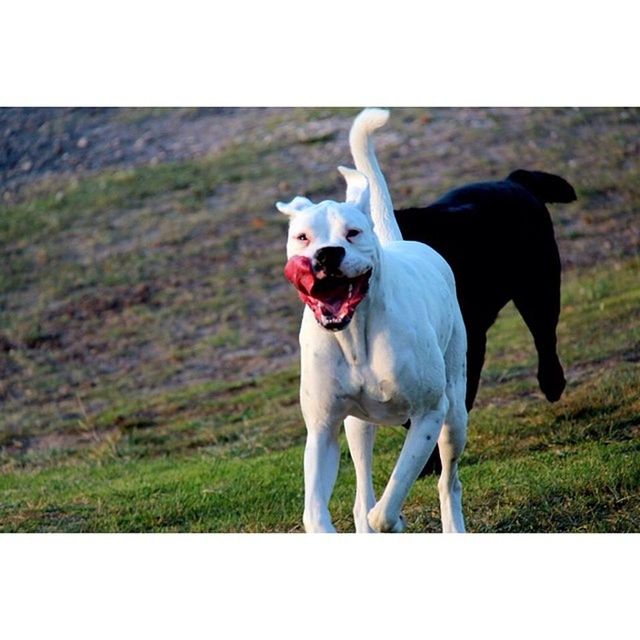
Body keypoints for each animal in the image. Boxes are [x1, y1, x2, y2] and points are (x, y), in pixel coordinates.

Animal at [276, 107, 464, 532]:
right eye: (303, 238)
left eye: (353, 232)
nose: (327, 254)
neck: (355, 336)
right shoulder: (323, 430)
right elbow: (317, 514)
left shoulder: (429, 415)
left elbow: (388, 506)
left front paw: (392, 520)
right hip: (357, 426)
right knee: (362, 491)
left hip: (455, 415)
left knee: (449, 481)